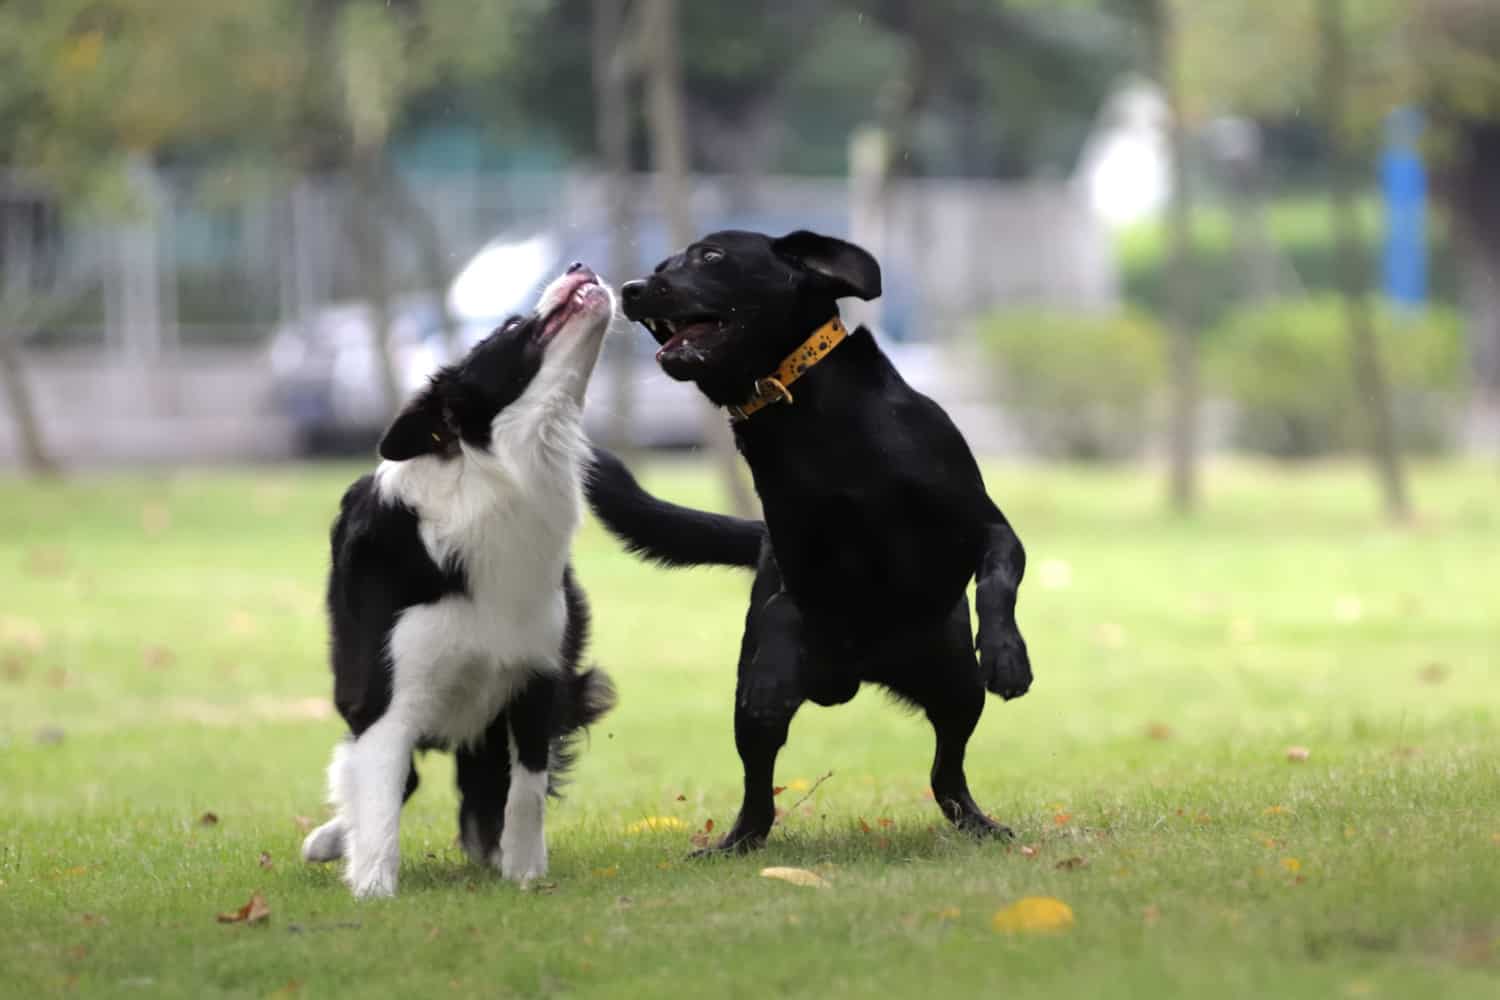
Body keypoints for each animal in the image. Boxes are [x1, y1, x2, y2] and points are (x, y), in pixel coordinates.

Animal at [303, 262, 615, 893]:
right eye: (511, 325)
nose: (578, 266)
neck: (498, 479)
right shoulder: (385, 693)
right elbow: (379, 792)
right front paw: (373, 889)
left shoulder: (537, 673)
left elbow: (527, 787)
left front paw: (523, 872)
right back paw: (331, 839)